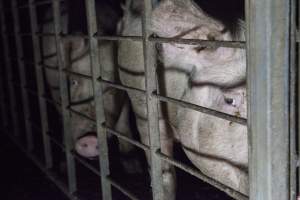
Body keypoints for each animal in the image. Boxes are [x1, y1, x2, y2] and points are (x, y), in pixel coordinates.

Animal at [41, 0, 141, 173]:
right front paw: (64, 167)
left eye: (111, 87)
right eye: (73, 82)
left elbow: (123, 123)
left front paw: (133, 167)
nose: (89, 137)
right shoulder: (54, 80)